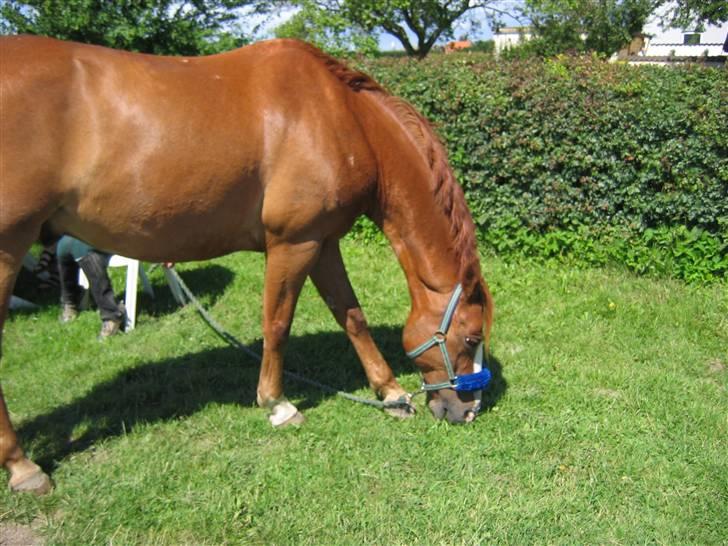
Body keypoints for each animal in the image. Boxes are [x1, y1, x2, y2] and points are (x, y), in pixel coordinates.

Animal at [0, 36, 494, 490]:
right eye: (470, 338)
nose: (468, 411)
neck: (342, 117)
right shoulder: (293, 244)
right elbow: (277, 324)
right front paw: (278, 404)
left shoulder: (323, 242)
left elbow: (352, 317)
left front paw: (390, 393)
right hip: (9, 246)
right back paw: (24, 468)